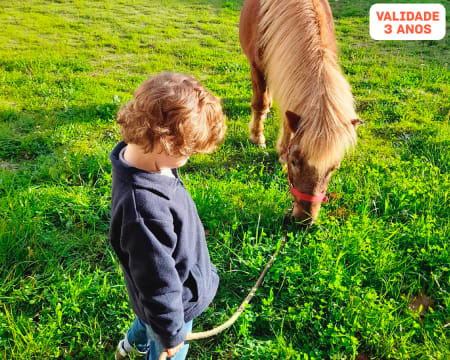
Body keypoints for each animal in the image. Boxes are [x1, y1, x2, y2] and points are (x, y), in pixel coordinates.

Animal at [239, 0, 358, 224]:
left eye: (334, 168)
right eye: (294, 161)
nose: (304, 220)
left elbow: (288, 115)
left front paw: (280, 151)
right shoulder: (257, 67)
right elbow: (260, 102)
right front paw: (257, 138)